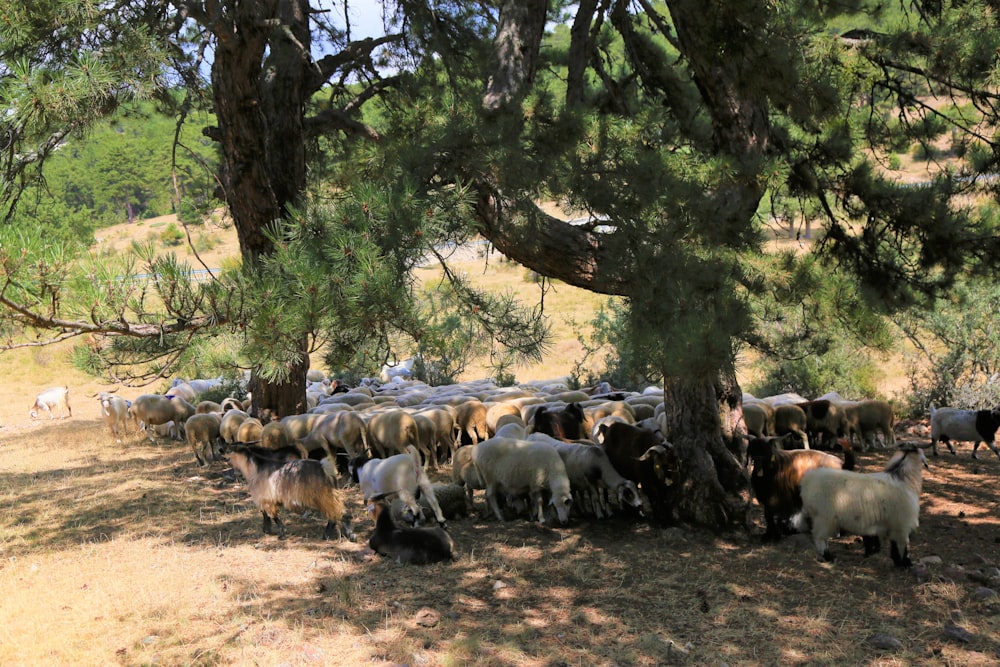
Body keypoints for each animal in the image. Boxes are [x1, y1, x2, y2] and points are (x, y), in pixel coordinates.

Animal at [223, 444, 356, 544]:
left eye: (229, 449)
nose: (223, 455)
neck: (256, 468)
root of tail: (324, 467)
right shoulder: (266, 499)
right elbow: (265, 515)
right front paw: (266, 530)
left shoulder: (266, 498)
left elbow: (273, 516)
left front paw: (281, 534)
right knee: (339, 513)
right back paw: (343, 534)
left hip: (323, 495)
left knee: (337, 513)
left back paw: (335, 535)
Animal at [796, 440, 928, 568]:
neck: (904, 479)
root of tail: (808, 479)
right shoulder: (901, 524)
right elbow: (903, 546)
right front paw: (905, 564)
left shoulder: (894, 524)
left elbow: (895, 545)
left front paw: (898, 561)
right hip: (824, 518)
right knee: (820, 538)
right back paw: (828, 557)